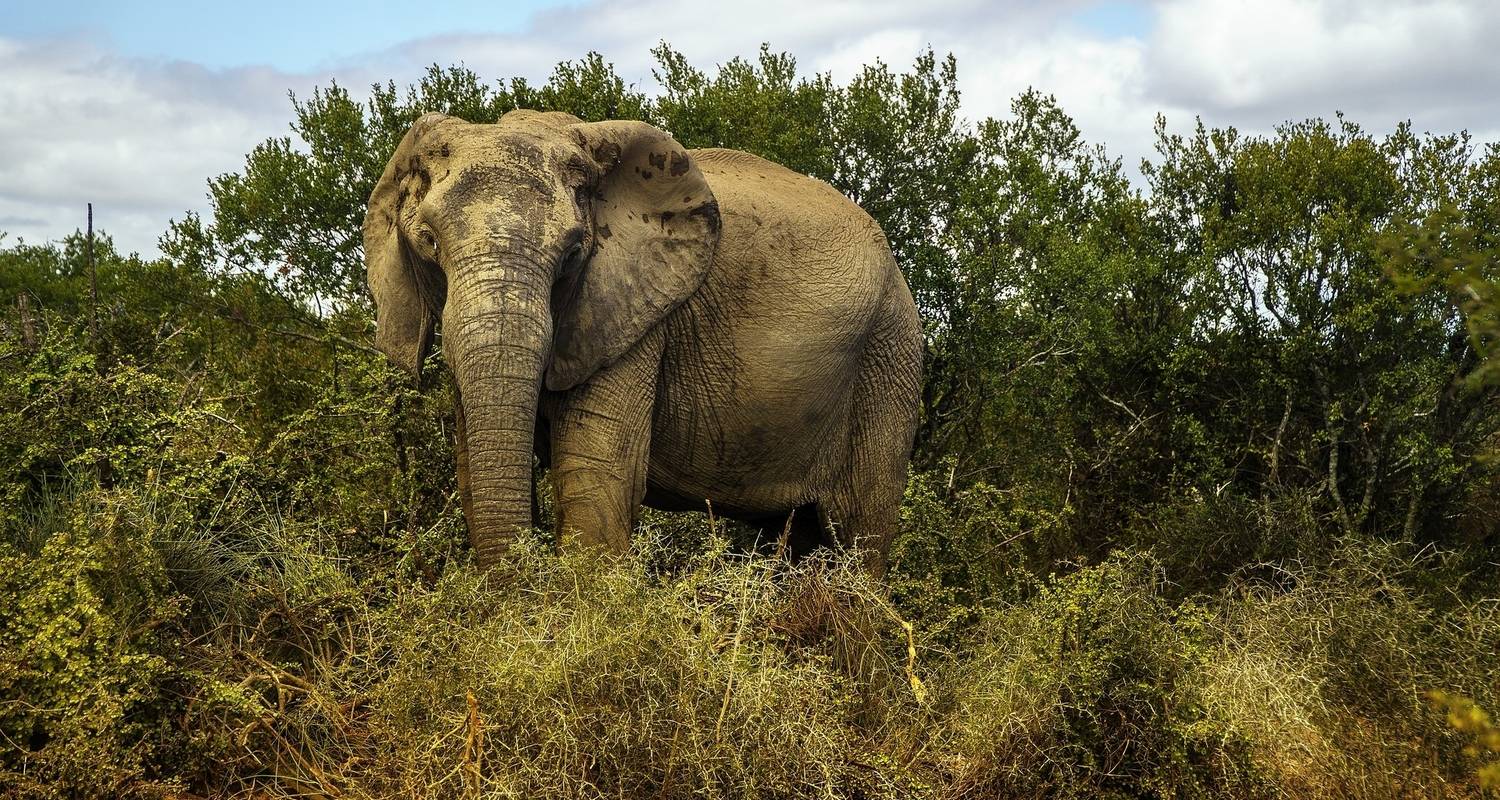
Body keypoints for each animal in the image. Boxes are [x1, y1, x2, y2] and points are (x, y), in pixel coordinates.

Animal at [364, 111, 924, 573]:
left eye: (573, 254)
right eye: (429, 243)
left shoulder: (635, 313)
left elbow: (596, 476)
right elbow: (470, 474)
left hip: (888, 357)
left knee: (859, 536)